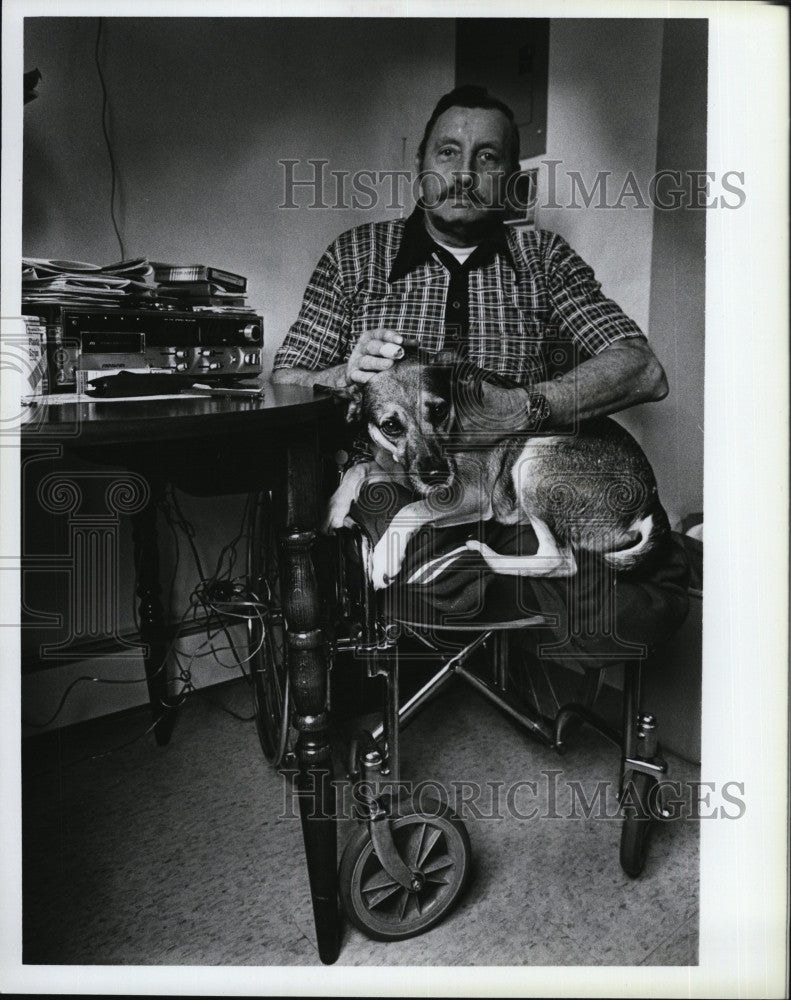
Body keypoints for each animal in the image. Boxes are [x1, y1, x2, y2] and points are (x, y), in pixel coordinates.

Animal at [324, 350, 672, 588]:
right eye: (391, 426)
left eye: (438, 410)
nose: (437, 475)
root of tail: (652, 503)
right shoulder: (401, 471)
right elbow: (360, 469)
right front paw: (335, 507)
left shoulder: (467, 494)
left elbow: (410, 509)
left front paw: (384, 556)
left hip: (534, 463)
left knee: (558, 561)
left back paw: (484, 556)